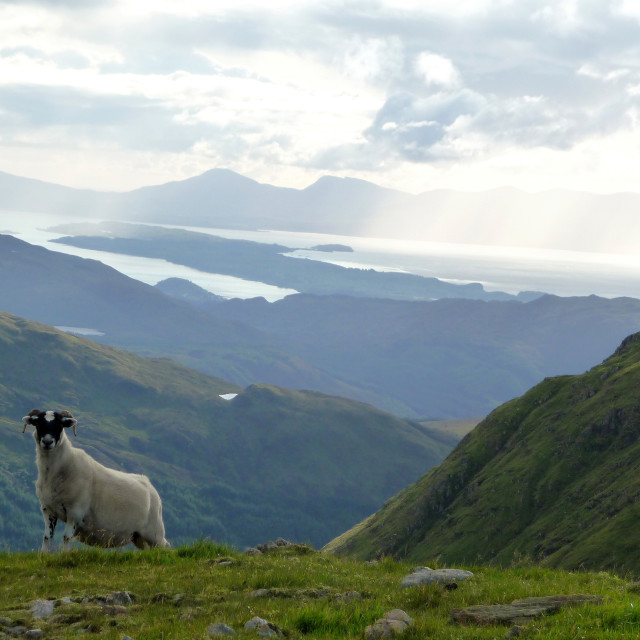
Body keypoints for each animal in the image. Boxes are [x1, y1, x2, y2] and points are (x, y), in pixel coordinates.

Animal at [22, 410, 170, 552]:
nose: (47, 442)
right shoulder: (48, 509)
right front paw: (43, 554)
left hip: (154, 532)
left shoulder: (75, 512)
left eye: (60, 424)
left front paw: (64, 554)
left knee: (165, 547)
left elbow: (66, 538)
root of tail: (149, 484)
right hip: (139, 536)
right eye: (38, 423)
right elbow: (47, 537)